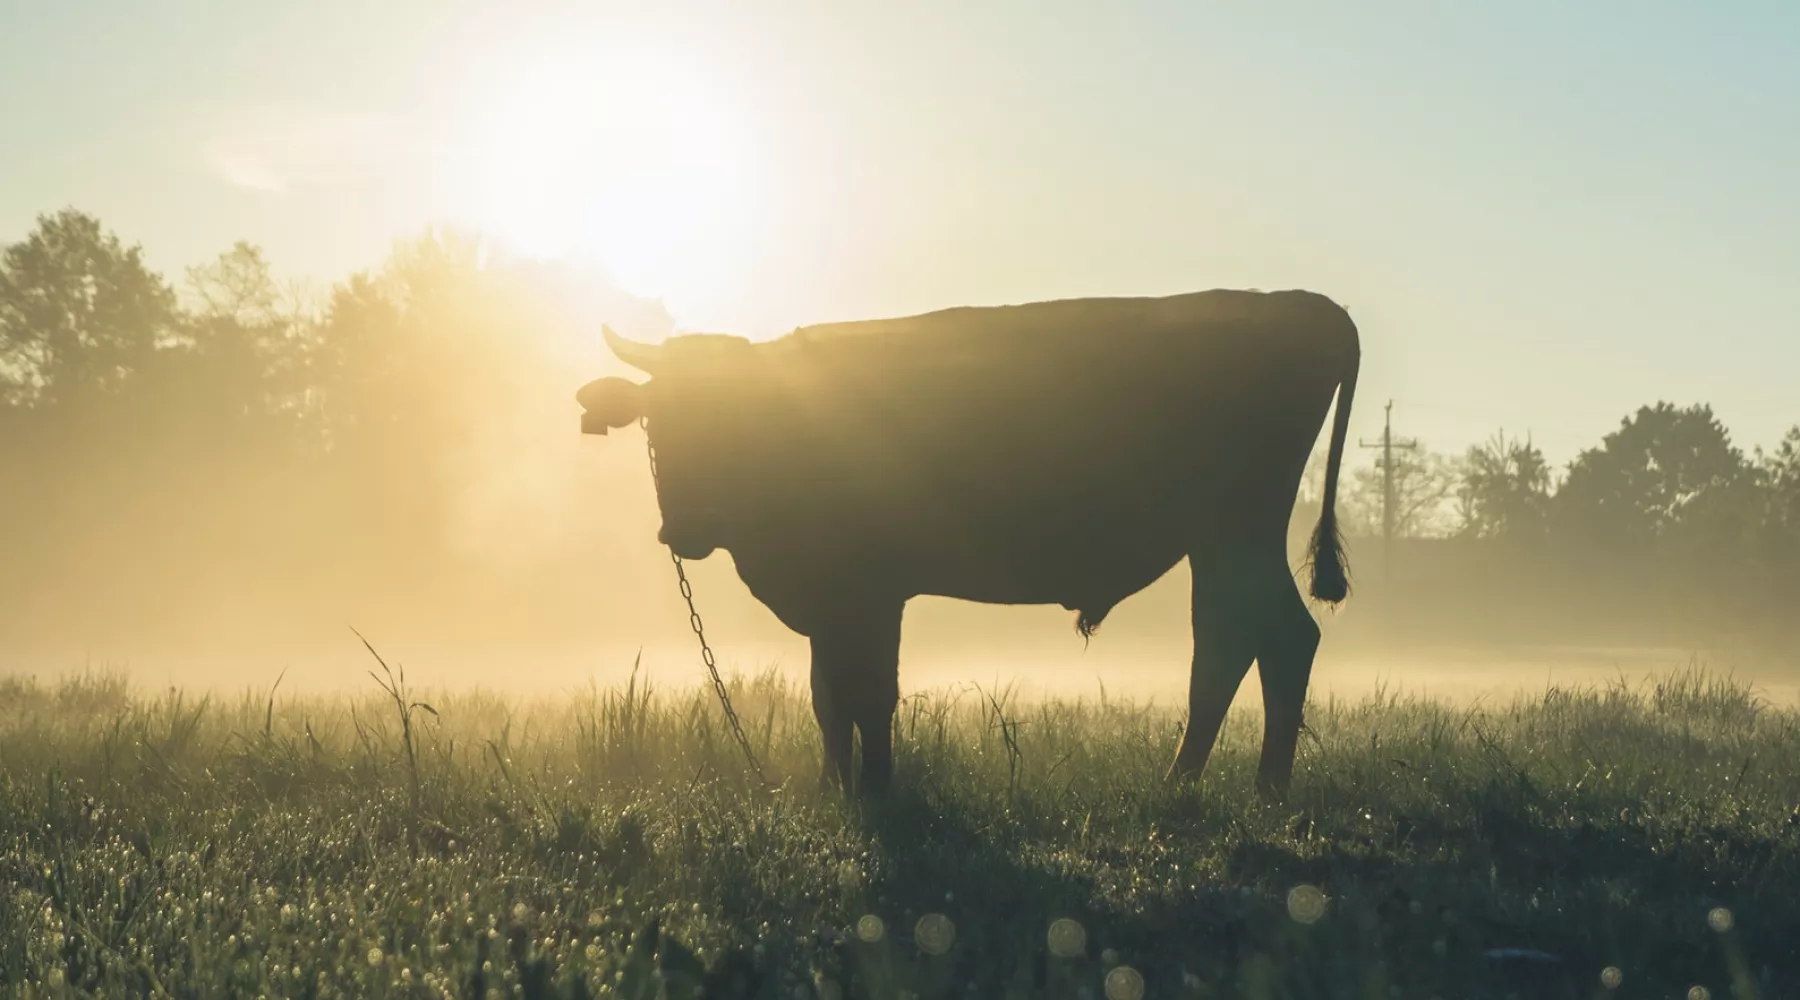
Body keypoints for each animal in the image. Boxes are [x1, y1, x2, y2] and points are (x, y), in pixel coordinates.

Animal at [583, 285, 1353, 802]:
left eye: (733, 415)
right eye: (657, 419)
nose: (685, 527)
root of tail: (1307, 306)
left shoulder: (869, 594)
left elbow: (869, 694)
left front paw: (878, 792)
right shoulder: (832, 603)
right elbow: (827, 695)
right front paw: (835, 790)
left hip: (1235, 532)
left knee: (1261, 641)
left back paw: (1237, 788)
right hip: (1222, 543)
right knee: (1245, 641)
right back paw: (1218, 785)